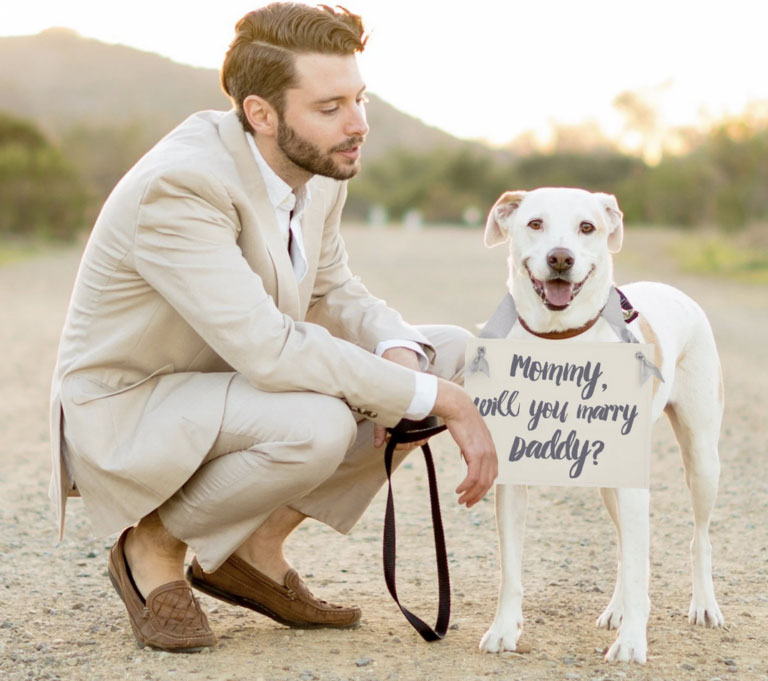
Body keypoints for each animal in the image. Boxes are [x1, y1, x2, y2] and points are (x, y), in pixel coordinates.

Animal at [476, 186, 724, 660]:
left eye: (587, 227)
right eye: (535, 223)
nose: (560, 258)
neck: (561, 343)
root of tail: (672, 290)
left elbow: (641, 566)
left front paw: (631, 644)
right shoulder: (512, 477)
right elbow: (510, 570)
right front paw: (503, 629)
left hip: (701, 459)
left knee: (699, 538)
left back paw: (703, 605)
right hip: (610, 479)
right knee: (626, 545)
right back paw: (618, 610)